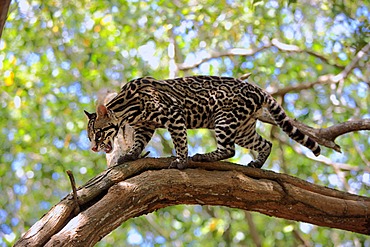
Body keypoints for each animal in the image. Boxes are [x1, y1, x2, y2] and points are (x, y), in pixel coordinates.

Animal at [85, 75, 320, 168]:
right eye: (90, 137)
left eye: (98, 133)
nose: (94, 147)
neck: (127, 108)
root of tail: (258, 89)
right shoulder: (145, 127)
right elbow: (138, 143)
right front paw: (130, 155)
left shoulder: (173, 114)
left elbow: (180, 141)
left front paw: (181, 161)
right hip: (243, 129)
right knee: (266, 143)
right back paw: (258, 162)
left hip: (224, 118)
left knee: (228, 149)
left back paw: (203, 157)